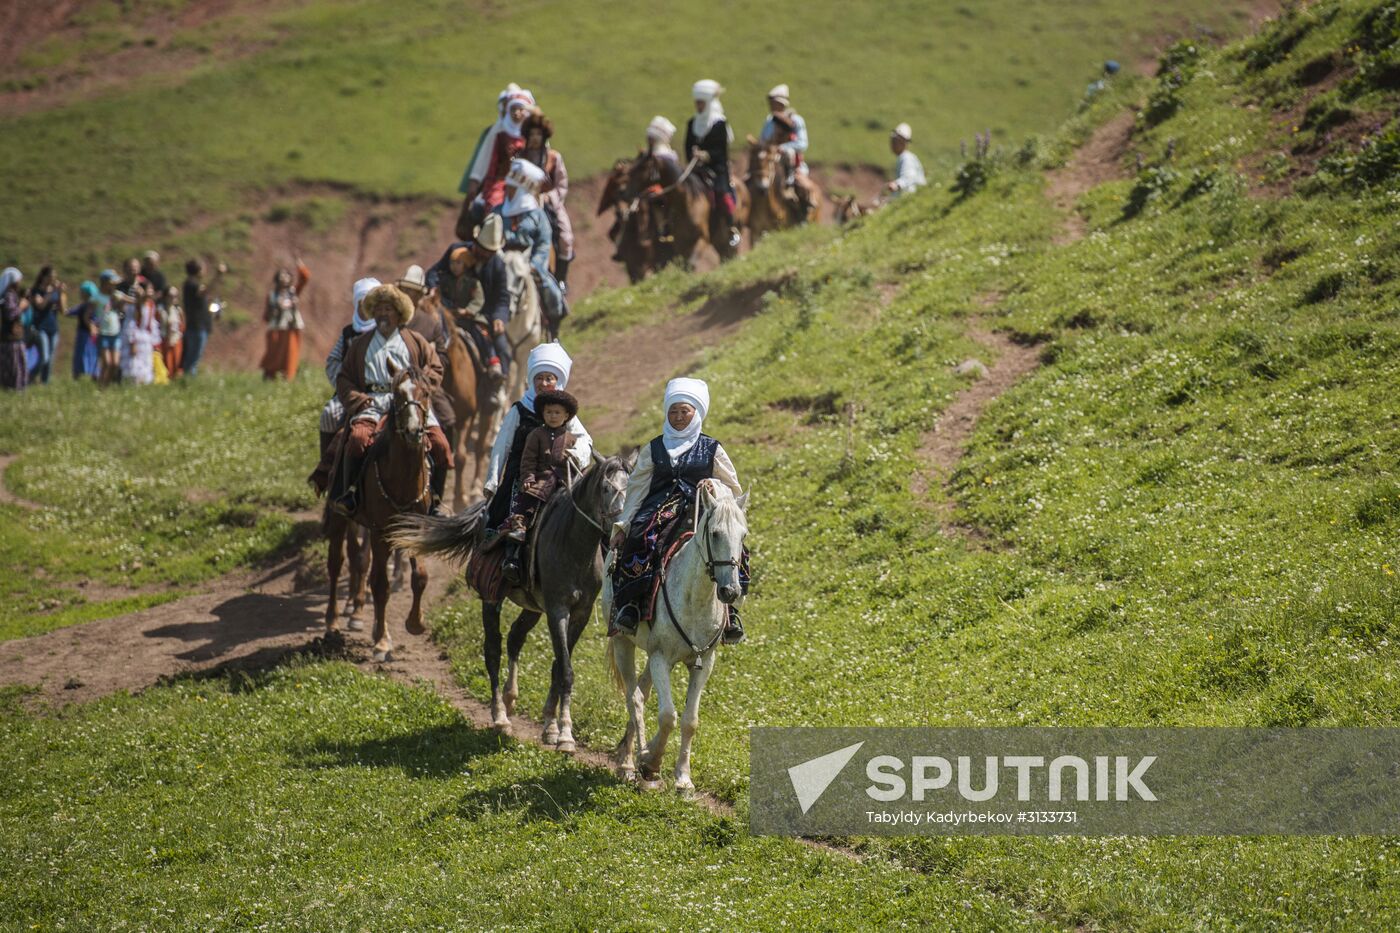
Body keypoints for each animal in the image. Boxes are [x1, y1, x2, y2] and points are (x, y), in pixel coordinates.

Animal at [389, 451, 630, 750]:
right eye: (606, 488)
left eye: (630, 486)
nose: (618, 530)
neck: (573, 544)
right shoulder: (557, 610)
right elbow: (565, 670)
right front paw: (565, 734)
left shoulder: (580, 613)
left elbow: (558, 666)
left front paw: (551, 726)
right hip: (492, 600)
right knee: (493, 649)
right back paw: (500, 716)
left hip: (533, 606)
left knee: (516, 636)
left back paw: (510, 696)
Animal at [604, 479, 750, 790]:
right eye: (715, 534)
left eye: (743, 535)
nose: (730, 591)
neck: (695, 599)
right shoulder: (661, 658)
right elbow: (668, 716)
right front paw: (651, 763)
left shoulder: (703, 663)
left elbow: (689, 720)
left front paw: (683, 778)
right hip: (623, 642)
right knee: (634, 698)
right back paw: (628, 764)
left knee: (642, 692)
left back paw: (632, 751)